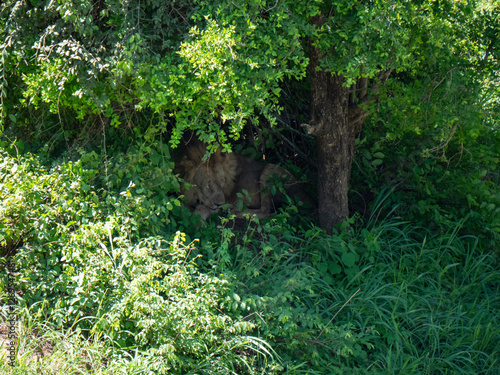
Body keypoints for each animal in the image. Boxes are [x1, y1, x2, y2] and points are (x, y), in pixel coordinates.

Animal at [175, 142, 308, 222]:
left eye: (222, 183)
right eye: (208, 185)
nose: (220, 204)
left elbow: (202, 209)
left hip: (269, 170)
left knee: (265, 211)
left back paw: (235, 212)